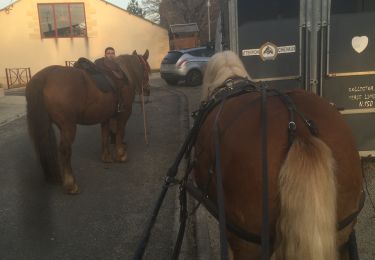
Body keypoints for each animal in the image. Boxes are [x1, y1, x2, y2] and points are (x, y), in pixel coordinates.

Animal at [25, 49, 152, 194]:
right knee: (64, 150)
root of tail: (46, 76)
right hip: (68, 126)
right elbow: (120, 133)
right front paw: (121, 155)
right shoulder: (124, 115)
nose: (147, 90)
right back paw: (71, 184)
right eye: (147, 69)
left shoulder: (105, 117)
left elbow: (104, 135)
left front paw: (106, 157)